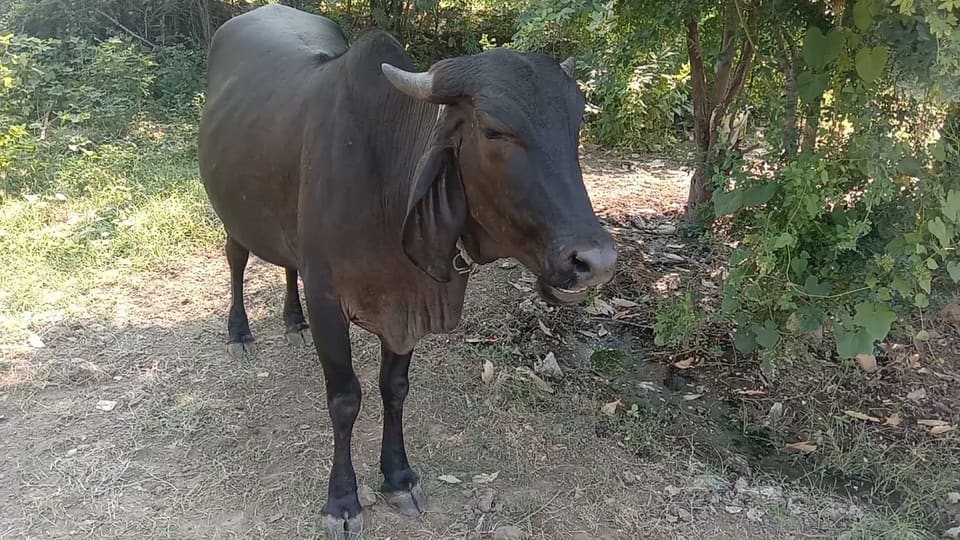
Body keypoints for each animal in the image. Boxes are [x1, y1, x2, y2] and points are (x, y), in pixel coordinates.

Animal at [198, 4, 617, 538]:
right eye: (493, 129)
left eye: (575, 126)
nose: (594, 261)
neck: (383, 178)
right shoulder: (327, 295)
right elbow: (345, 398)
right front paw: (343, 502)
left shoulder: (406, 304)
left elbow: (394, 389)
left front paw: (397, 477)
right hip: (234, 216)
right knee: (236, 258)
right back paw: (240, 332)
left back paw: (293, 321)